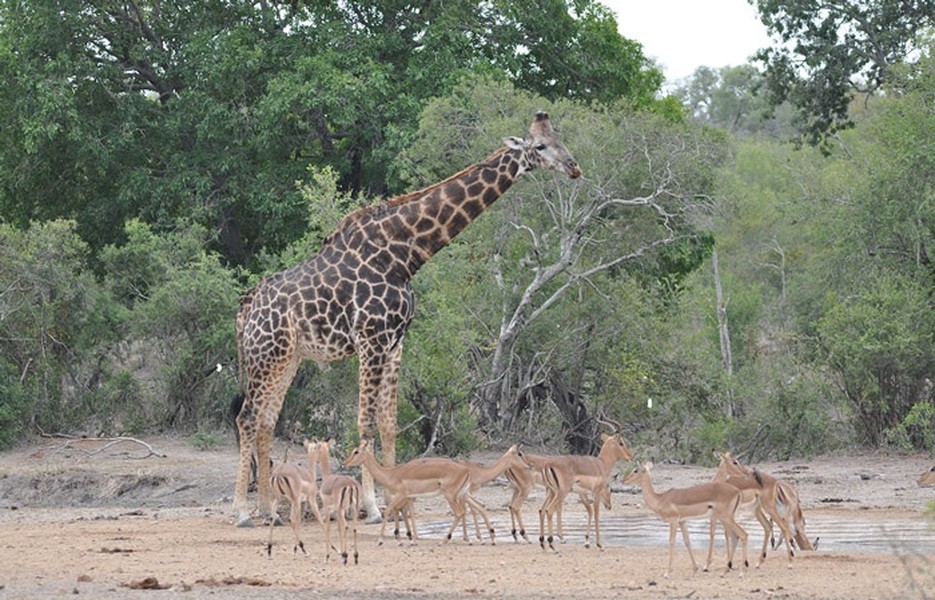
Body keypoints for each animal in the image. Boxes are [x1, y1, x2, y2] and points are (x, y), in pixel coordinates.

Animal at [234, 111, 580, 524]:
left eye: (561, 138)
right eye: (540, 146)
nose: (574, 167)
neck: (404, 254)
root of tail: (245, 309)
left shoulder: (396, 341)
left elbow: (388, 423)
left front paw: (393, 500)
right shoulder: (371, 339)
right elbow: (365, 421)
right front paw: (369, 506)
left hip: (286, 358)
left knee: (266, 421)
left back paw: (267, 509)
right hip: (265, 356)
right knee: (247, 418)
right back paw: (242, 511)